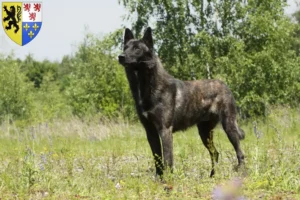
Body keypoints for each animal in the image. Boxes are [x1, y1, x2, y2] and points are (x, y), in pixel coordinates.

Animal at [117, 27, 244, 177]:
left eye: (137, 48)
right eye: (125, 47)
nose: (120, 56)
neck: (147, 87)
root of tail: (224, 85)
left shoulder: (165, 130)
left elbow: (167, 160)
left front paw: (168, 180)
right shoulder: (151, 132)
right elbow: (157, 160)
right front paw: (159, 179)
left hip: (229, 126)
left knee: (239, 153)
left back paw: (242, 172)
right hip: (204, 132)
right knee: (215, 153)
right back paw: (212, 176)